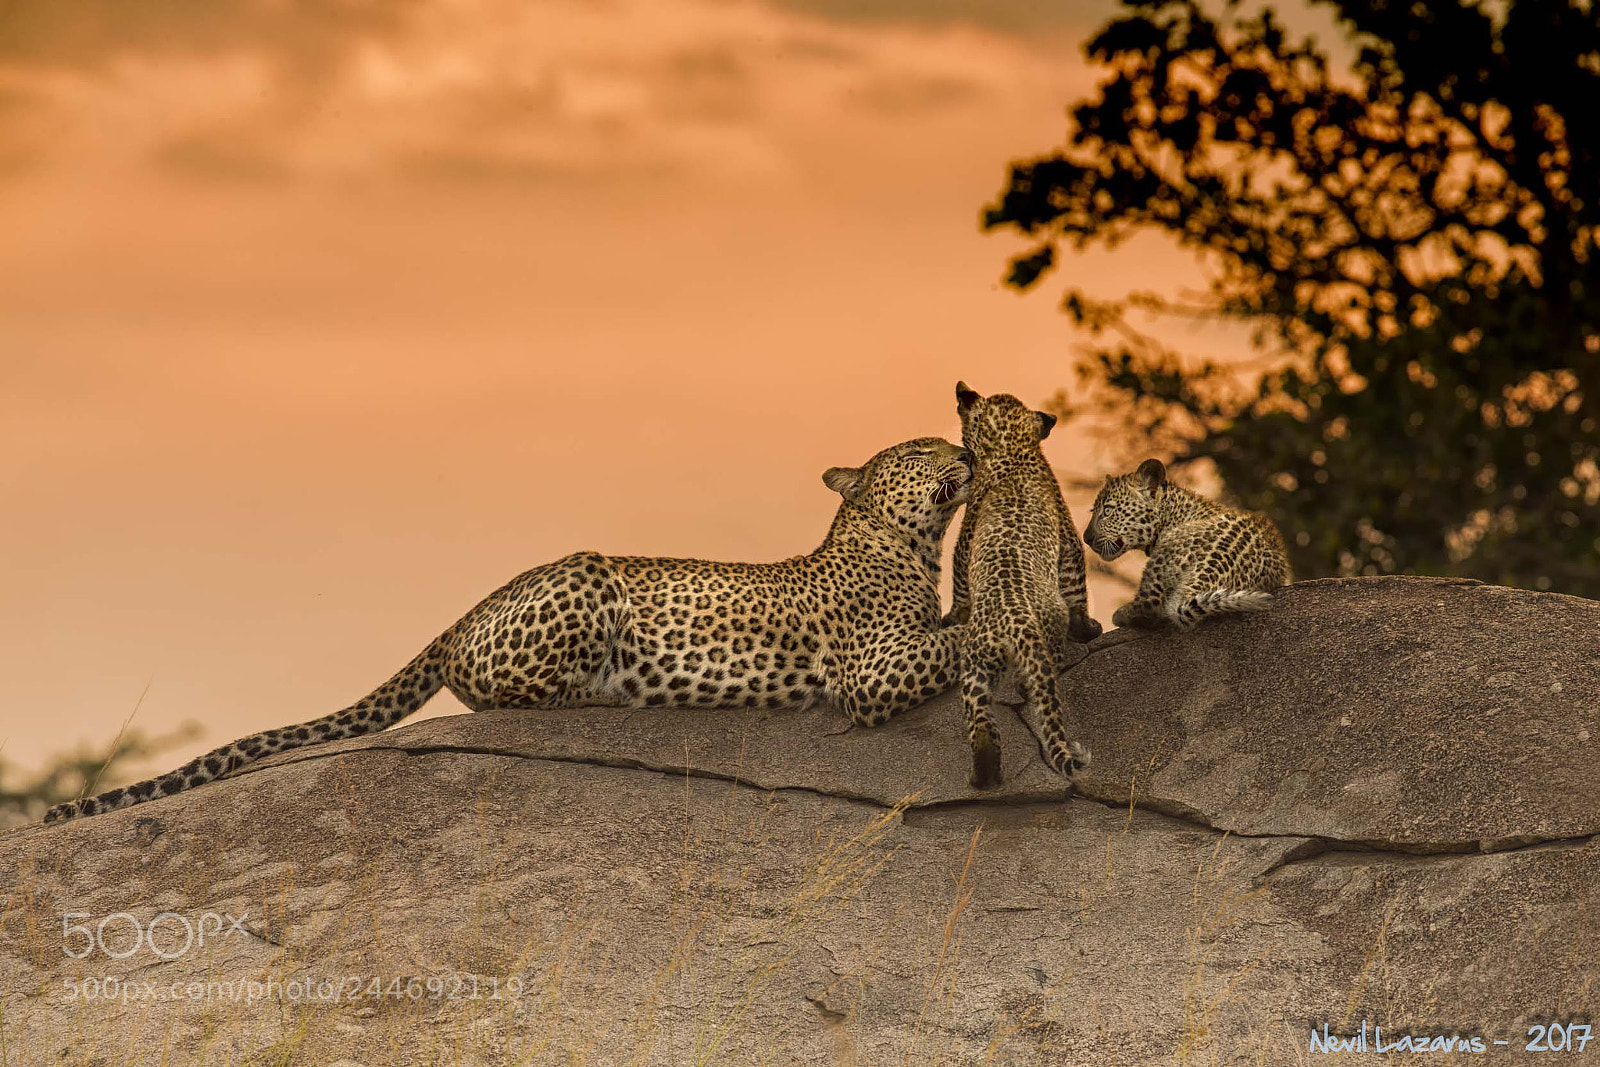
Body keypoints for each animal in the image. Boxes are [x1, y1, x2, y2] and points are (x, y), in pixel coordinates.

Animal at [45, 437, 975, 822]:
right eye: (923, 449)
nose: (968, 454)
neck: (910, 543)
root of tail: (466, 607)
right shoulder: (868, 673)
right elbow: (952, 639)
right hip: (588, 577)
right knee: (509, 694)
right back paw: (608, 700)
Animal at [945, 381, 1100, 790]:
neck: (1008, 447)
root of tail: (1012, 617)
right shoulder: (1069, 538)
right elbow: (1078, 590)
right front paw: (1089, 627)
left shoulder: (966, 536)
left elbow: (958, 582)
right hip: (1040, 644)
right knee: (1039, 687)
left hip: (975, 666)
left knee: (982, 724)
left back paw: (983, 775)